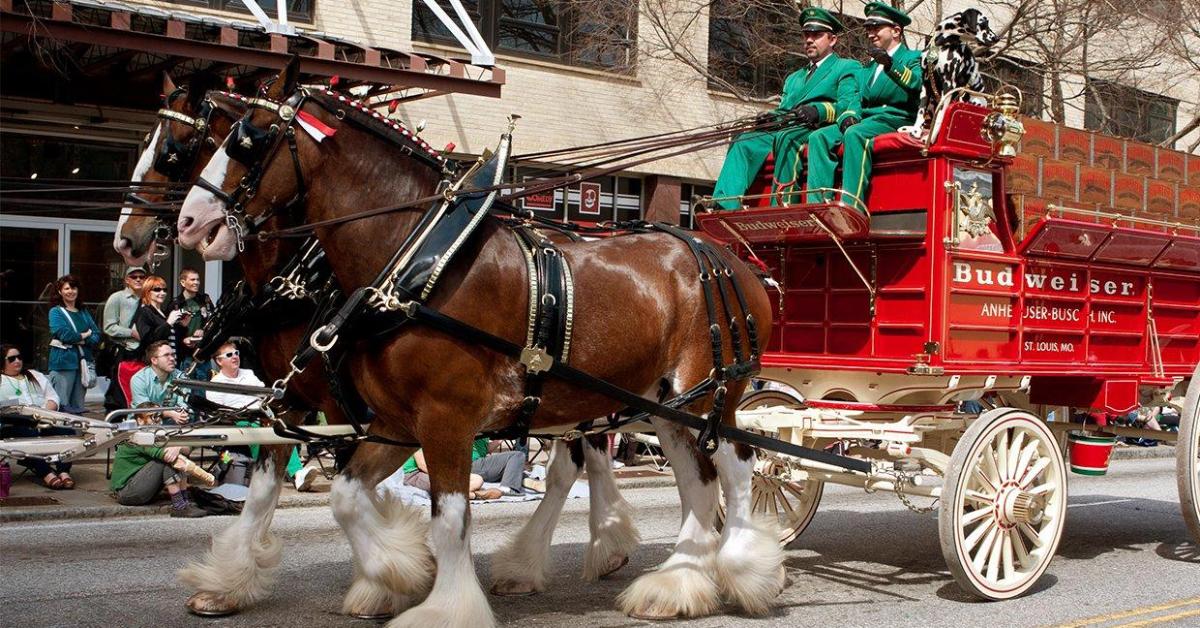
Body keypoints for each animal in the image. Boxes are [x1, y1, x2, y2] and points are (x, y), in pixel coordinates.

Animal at [118, 75, 643, 619]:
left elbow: (356, 491)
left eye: (174, 152)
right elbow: (267, 492)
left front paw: (388, 576)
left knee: (579, 459)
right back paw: (592, 549)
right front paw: (229, 584)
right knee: (579, 460)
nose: (130, 239)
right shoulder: (295, 399)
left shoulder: (348, 405)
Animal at [175, 60, 777, 628]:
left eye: (249, 139)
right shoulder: (388, 418)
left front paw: (439, 604)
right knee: (691, 482)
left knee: (736, 468)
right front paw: (394, 572)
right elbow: (342, 497)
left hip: (708, 395)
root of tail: (737, 263)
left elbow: (448, 519)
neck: (413, 259)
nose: (187, 224)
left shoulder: (443, 417)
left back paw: (740, 566)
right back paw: (673, 582)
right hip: (658, 404)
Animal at [902, 8, 998, 138]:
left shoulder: (948, 85)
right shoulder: (926, 83)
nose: (997, 38)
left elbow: (940, 117)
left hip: (971, 100)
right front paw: (916, 131)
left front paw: (929, 138)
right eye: (984, 23)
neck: (942, 44)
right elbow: (921, 111)